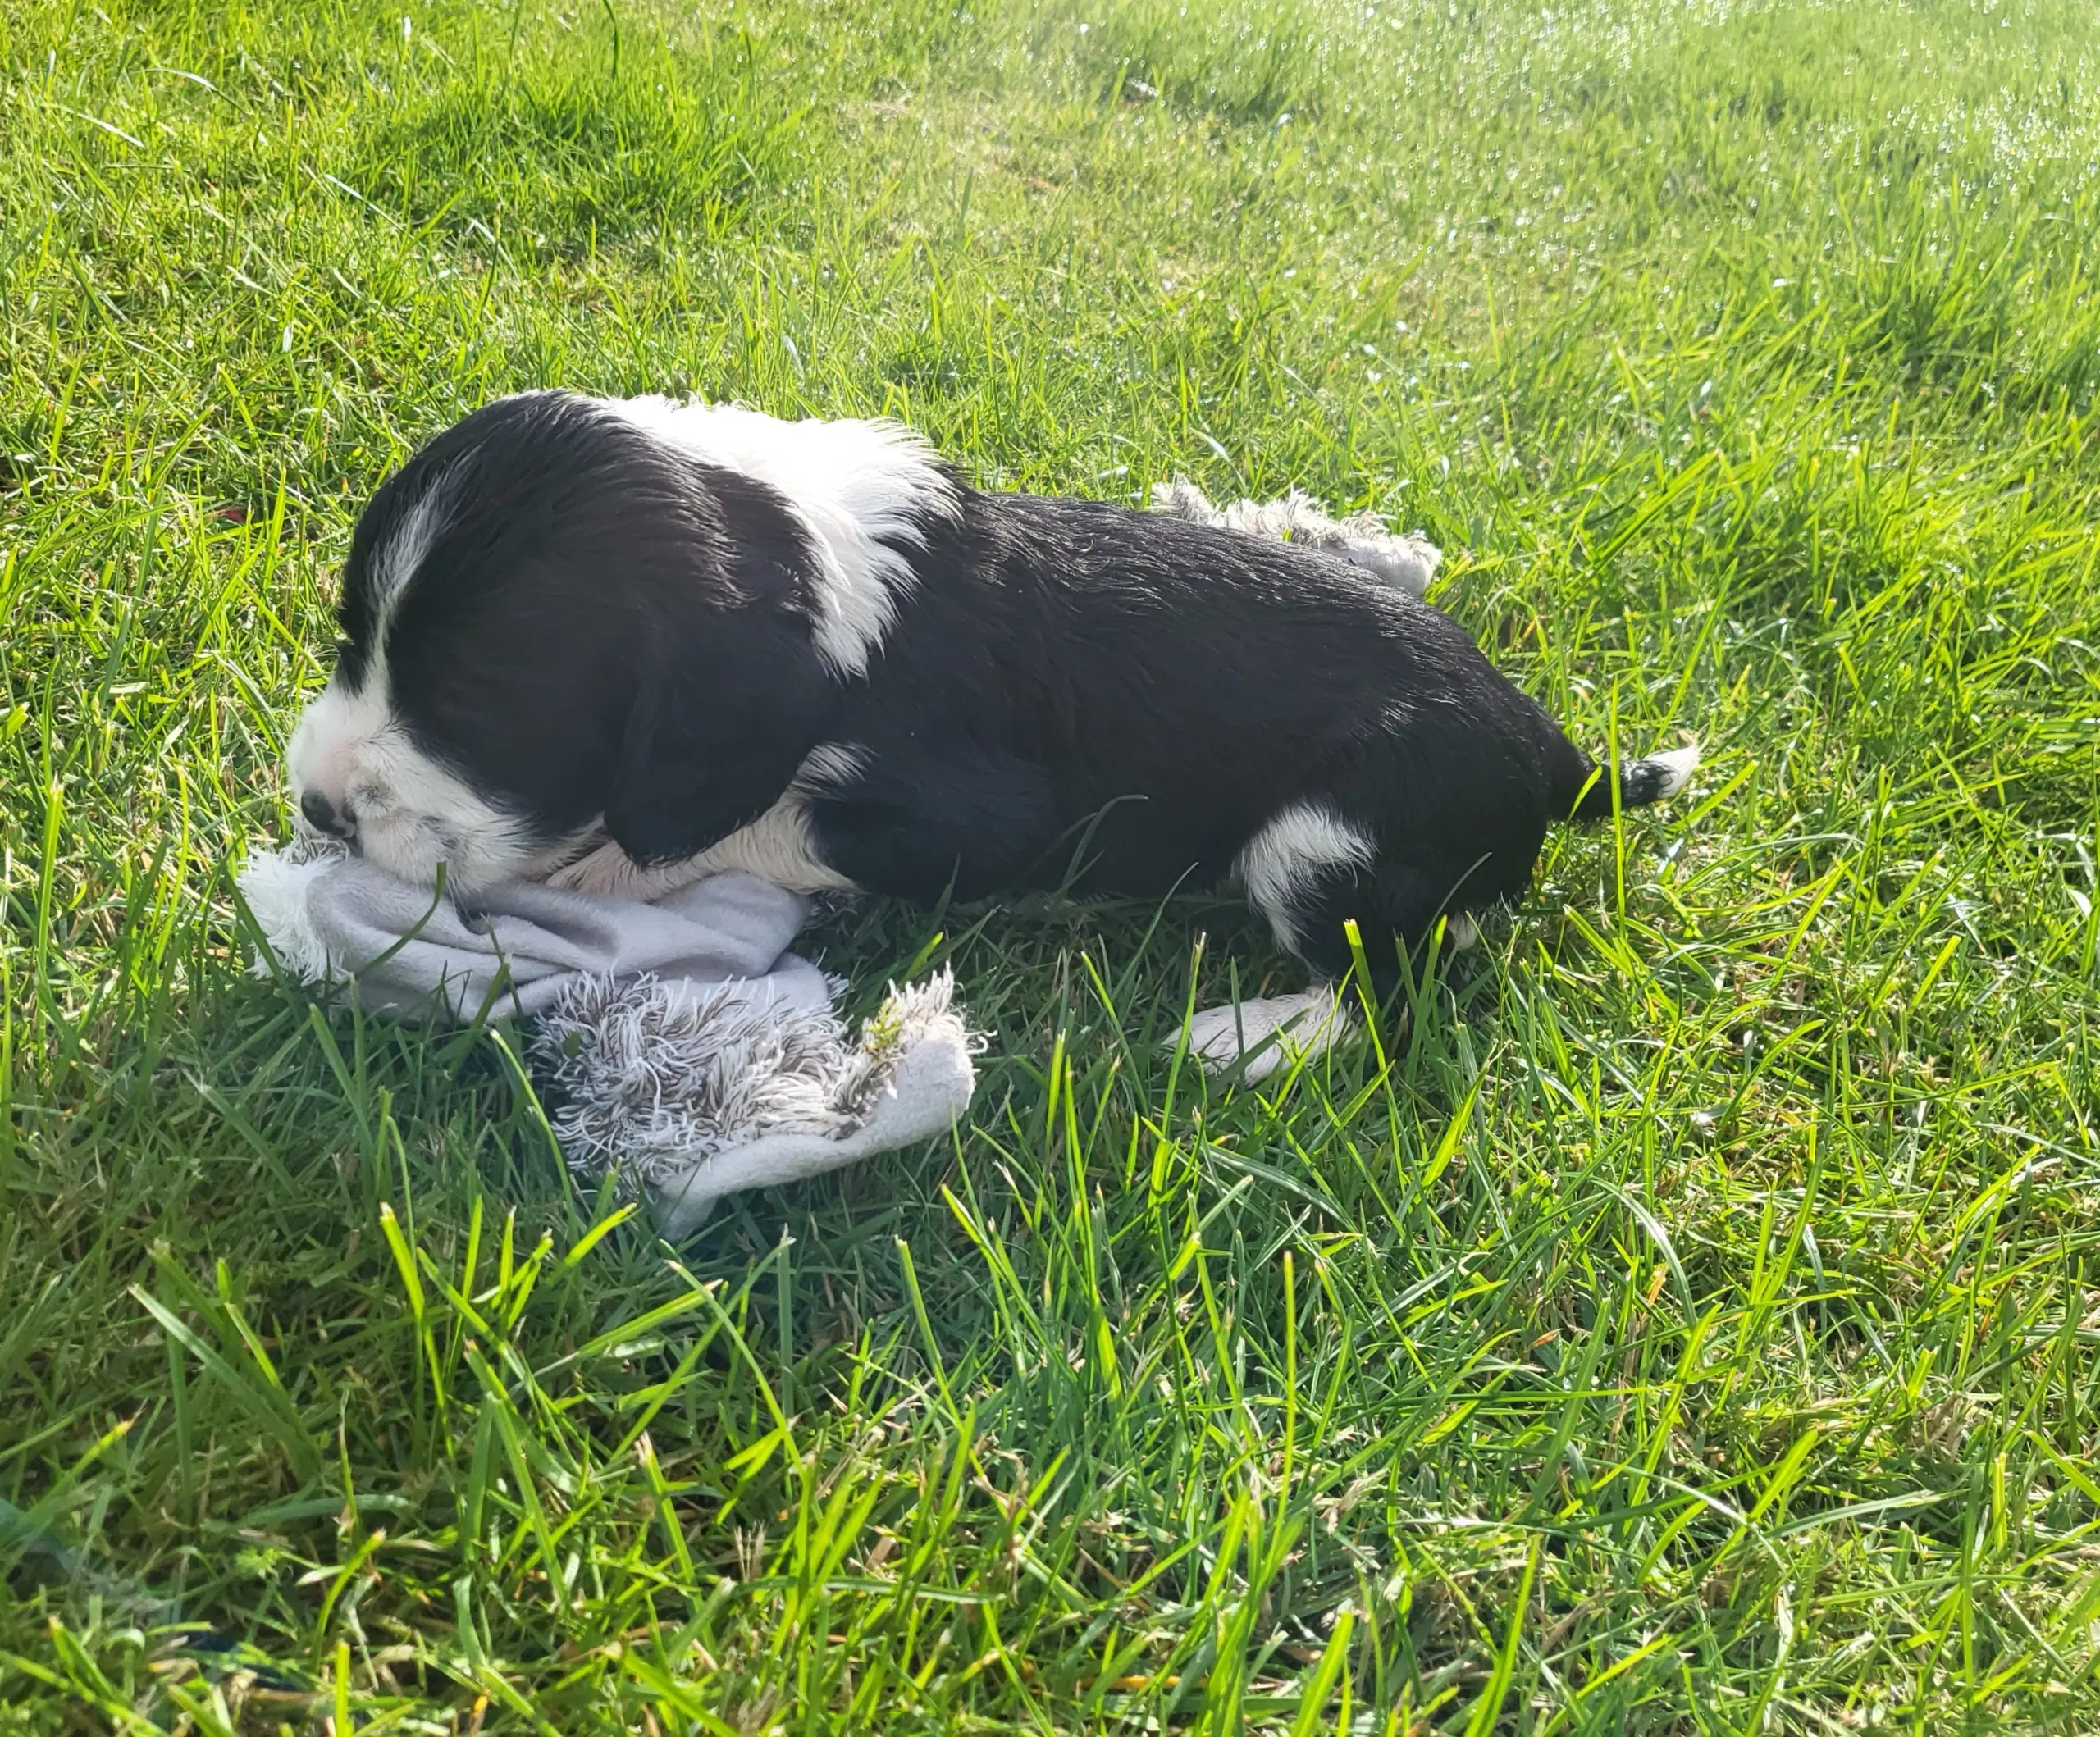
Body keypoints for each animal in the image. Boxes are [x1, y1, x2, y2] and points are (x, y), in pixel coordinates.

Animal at [287, 392, 1696, 1075]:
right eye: (349, 640)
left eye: (479, 708)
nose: (314, 809)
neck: (809, 571)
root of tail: (1562, 761)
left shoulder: (995, 816)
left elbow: (764, 819)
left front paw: (604, 868)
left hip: (1319, 837)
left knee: (1397, 987)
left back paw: (1246, 1039)